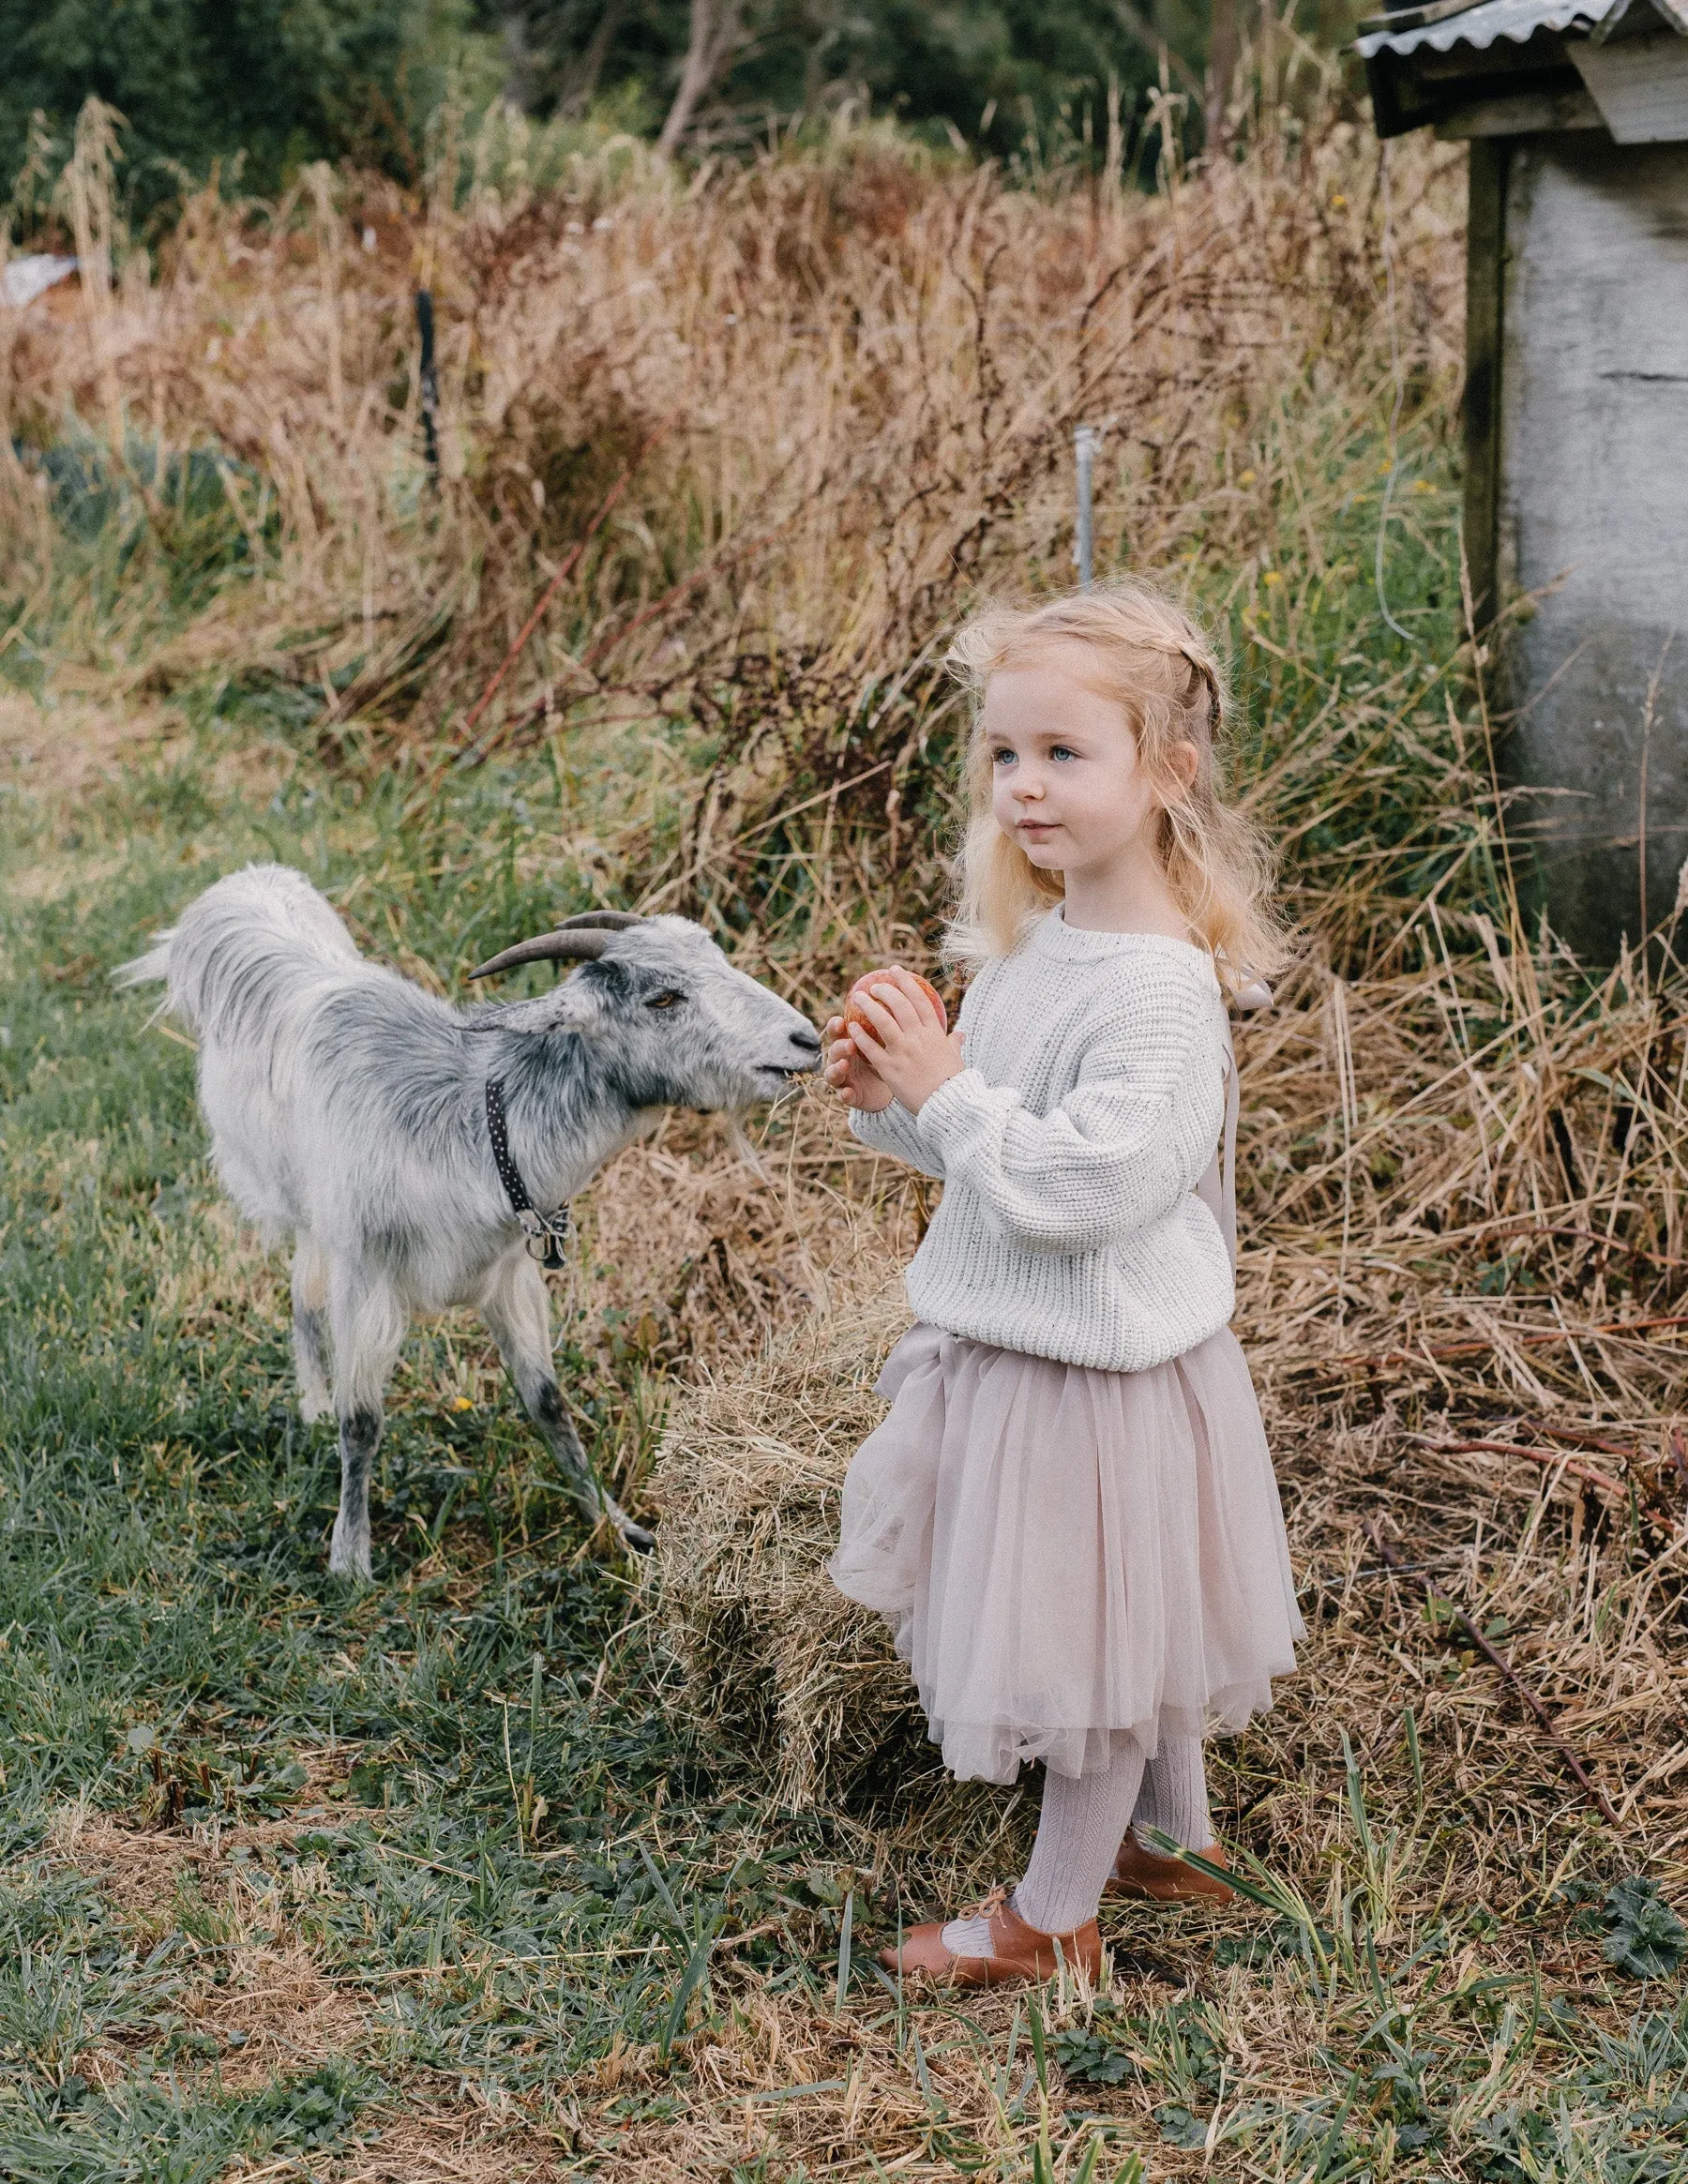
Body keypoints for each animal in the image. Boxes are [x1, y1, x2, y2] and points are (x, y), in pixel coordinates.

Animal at [116, 860, 816, 1581]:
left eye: (720, 960)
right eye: (664, 999)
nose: (807, 1039)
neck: (474, 1126)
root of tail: (242, 887)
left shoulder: (509, 1278)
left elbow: (548, 1402)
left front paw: (615, 1525)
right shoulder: (365, 1279)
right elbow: (361, 1421)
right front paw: (350, 1557)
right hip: (301, 1206)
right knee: (304, 1295)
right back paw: (311, 1406)